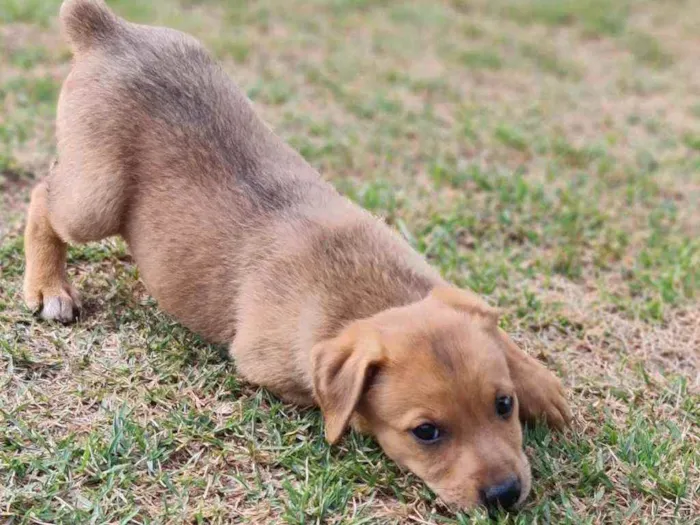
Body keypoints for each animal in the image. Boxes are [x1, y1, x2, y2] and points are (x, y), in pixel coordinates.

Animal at [24, 0, 572, 510]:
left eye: (503, 404)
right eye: (426, 433)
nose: (505, 493)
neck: (377, 295)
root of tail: (106, 29)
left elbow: (494, 329)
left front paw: (540, 384)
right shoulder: (270, 367)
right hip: (95, 199)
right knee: (42, 195)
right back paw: (49, 286)